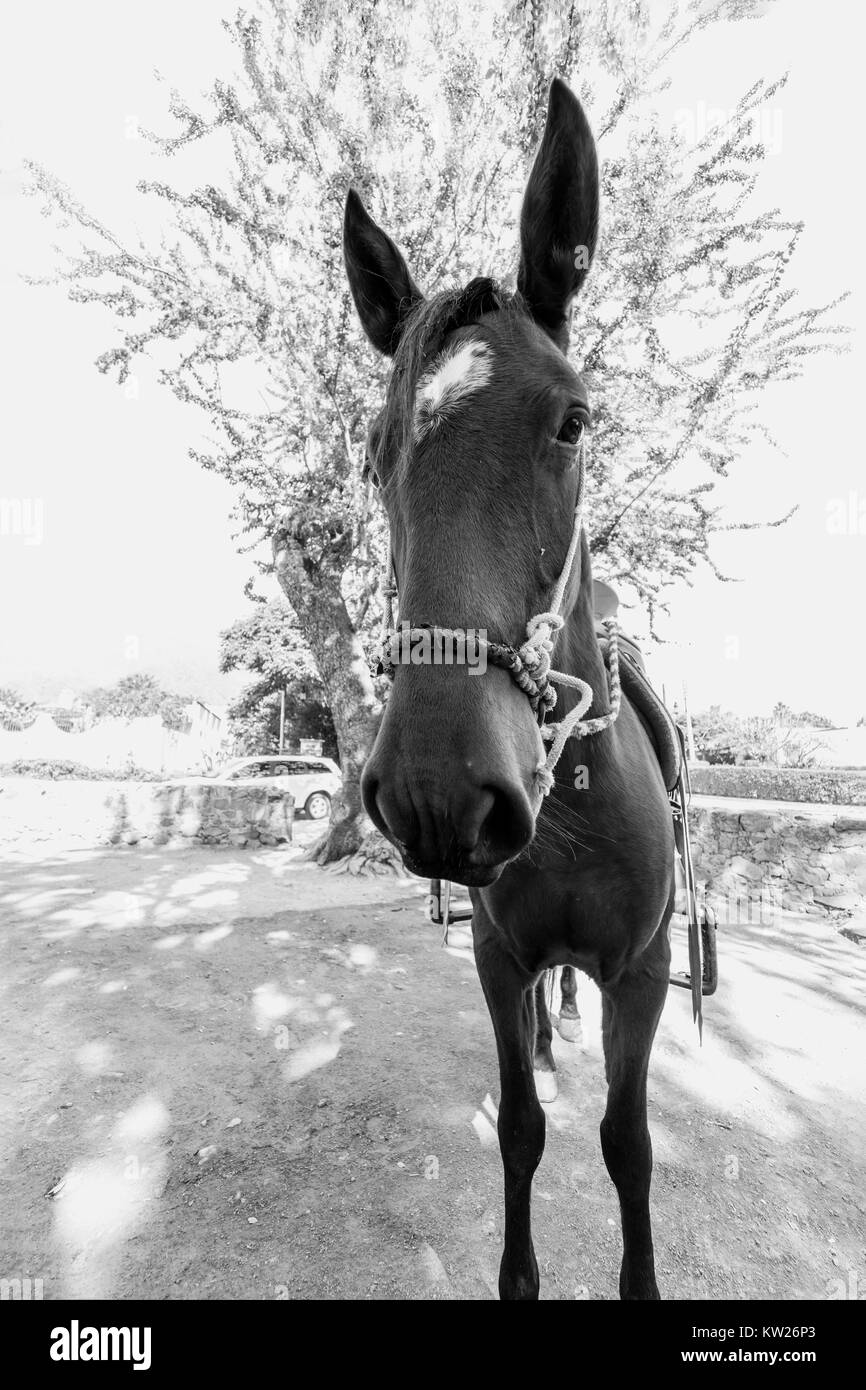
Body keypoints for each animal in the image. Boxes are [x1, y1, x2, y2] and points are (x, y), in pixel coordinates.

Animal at [342, 77, 675, 1301]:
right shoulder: (494, 960)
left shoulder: (643, 974)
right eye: (374, 451)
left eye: (572, 421)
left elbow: (627, 1145)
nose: (440, 791)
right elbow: (521, 1129)